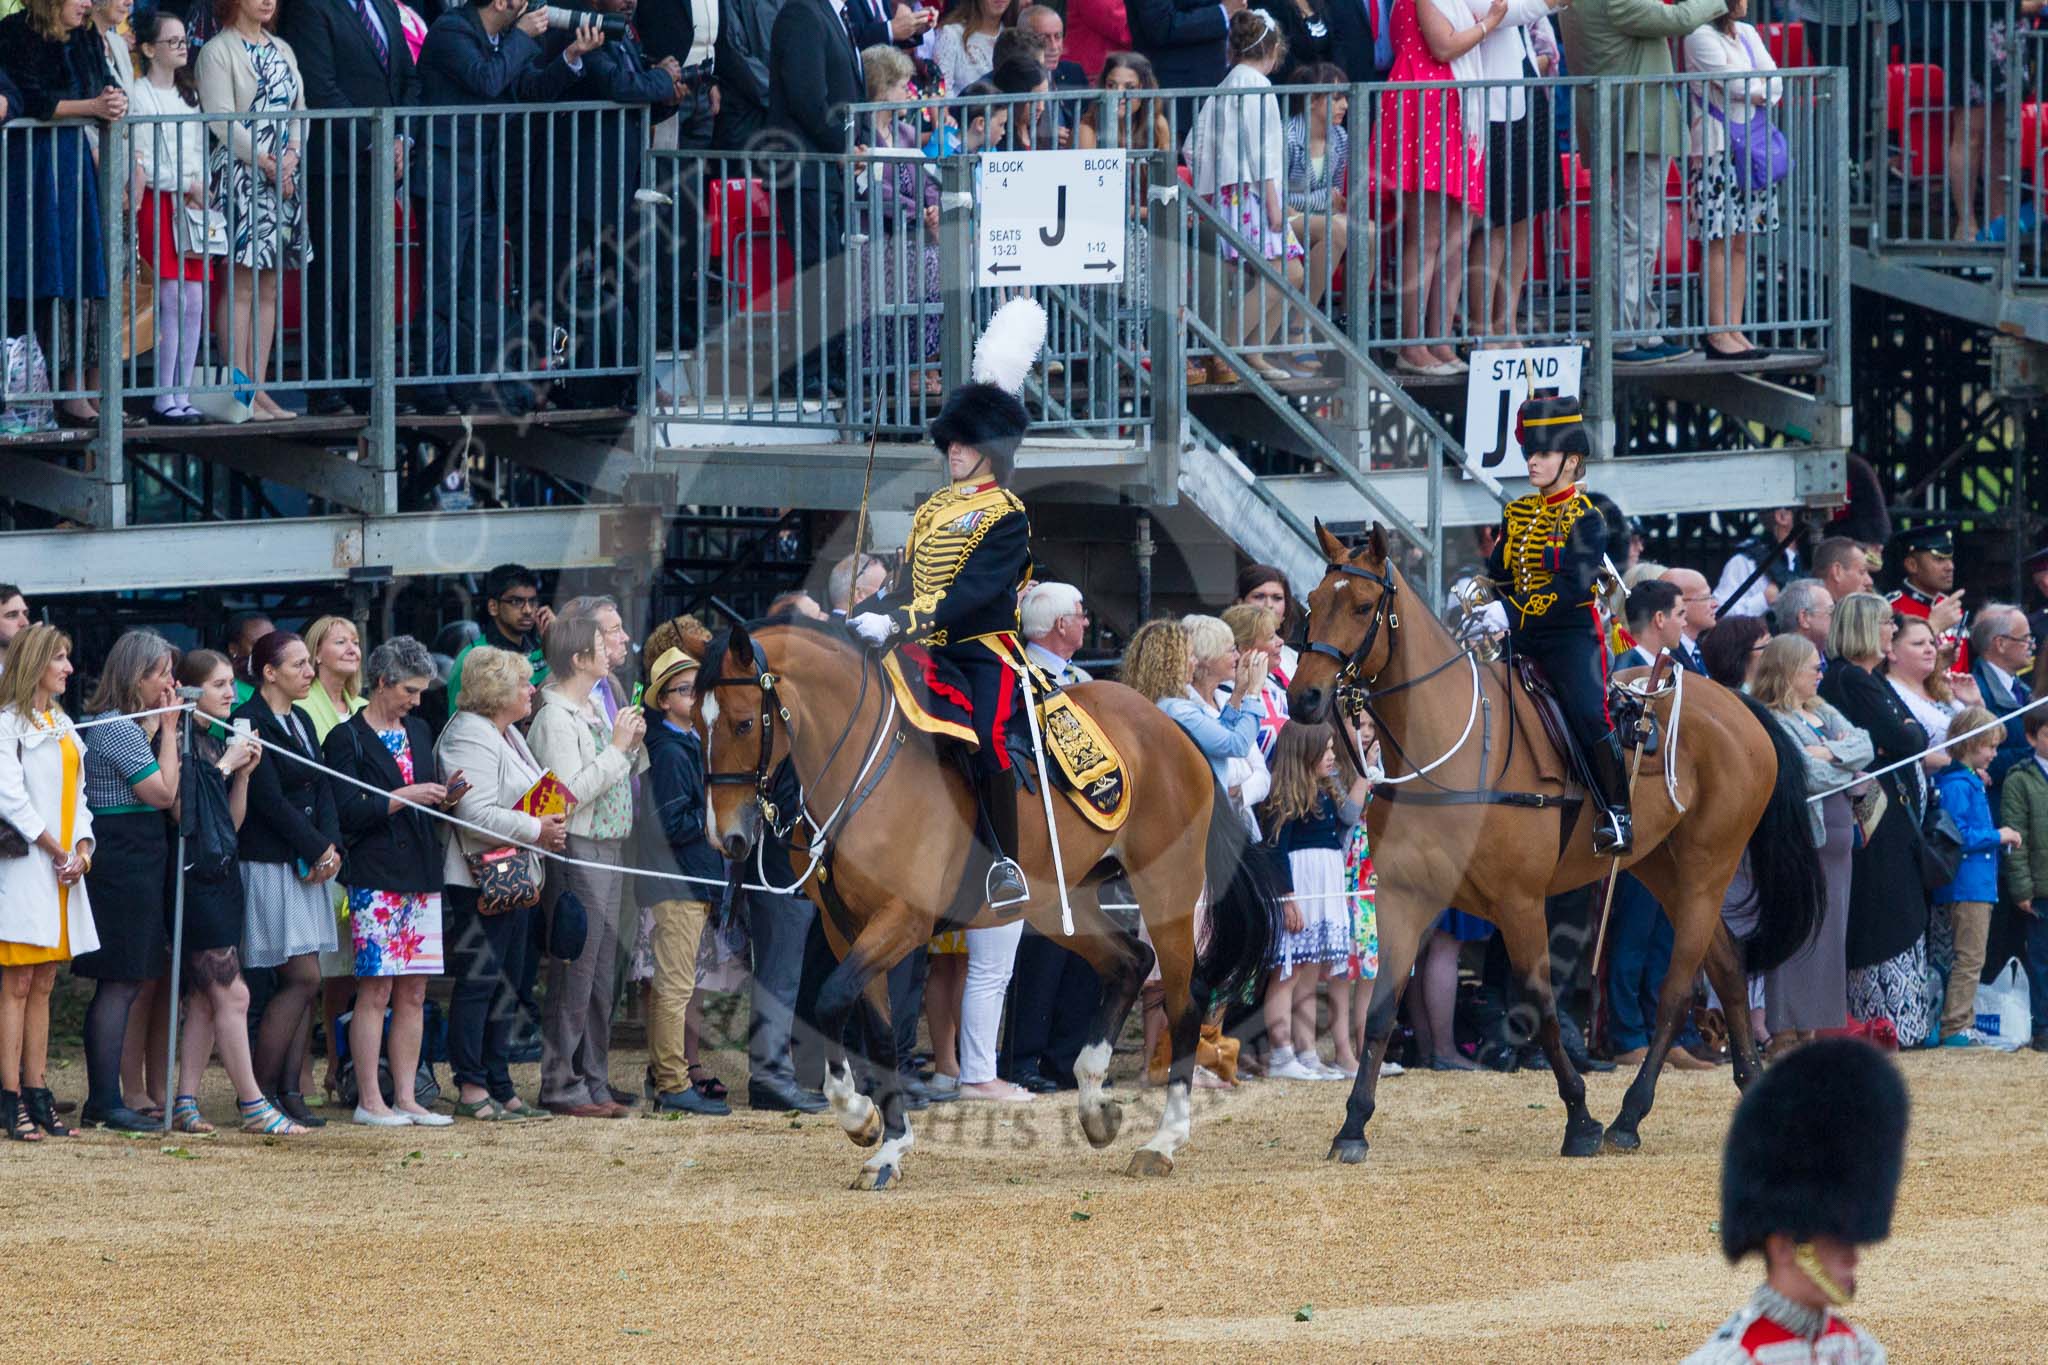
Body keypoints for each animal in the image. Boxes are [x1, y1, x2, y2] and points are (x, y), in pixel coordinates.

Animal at [679, 613, 1269, 1186]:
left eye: (743, 723)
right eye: (695, 725)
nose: (725, 837)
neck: (865, 775)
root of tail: (1168, 724)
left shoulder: (904, 920)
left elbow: (829, 1001)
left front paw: (860, 1117)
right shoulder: (845, 928)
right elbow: (875, 1029)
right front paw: (885, 1142)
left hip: (1166, 884)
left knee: (1184, 998)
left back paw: (1163, 1140)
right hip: (1059, 901)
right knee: (1129, 962)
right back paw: (1095, 1104)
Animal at [1286, 527, 1835, 1162]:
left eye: (1360, 606)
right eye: (1311, 603)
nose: (1305, 698)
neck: (1449, 748)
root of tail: (1736, 703)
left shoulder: (1520, 903)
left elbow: (1543, 1008)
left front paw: (1580, 1119)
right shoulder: (1403, 898)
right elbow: (1379, 1013)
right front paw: (1352, 1126)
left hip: (1707, 867)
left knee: (1678, 990)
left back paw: (1628, 1116)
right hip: (1661, 866)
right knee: (1724, 964)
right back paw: (1740, 1089)